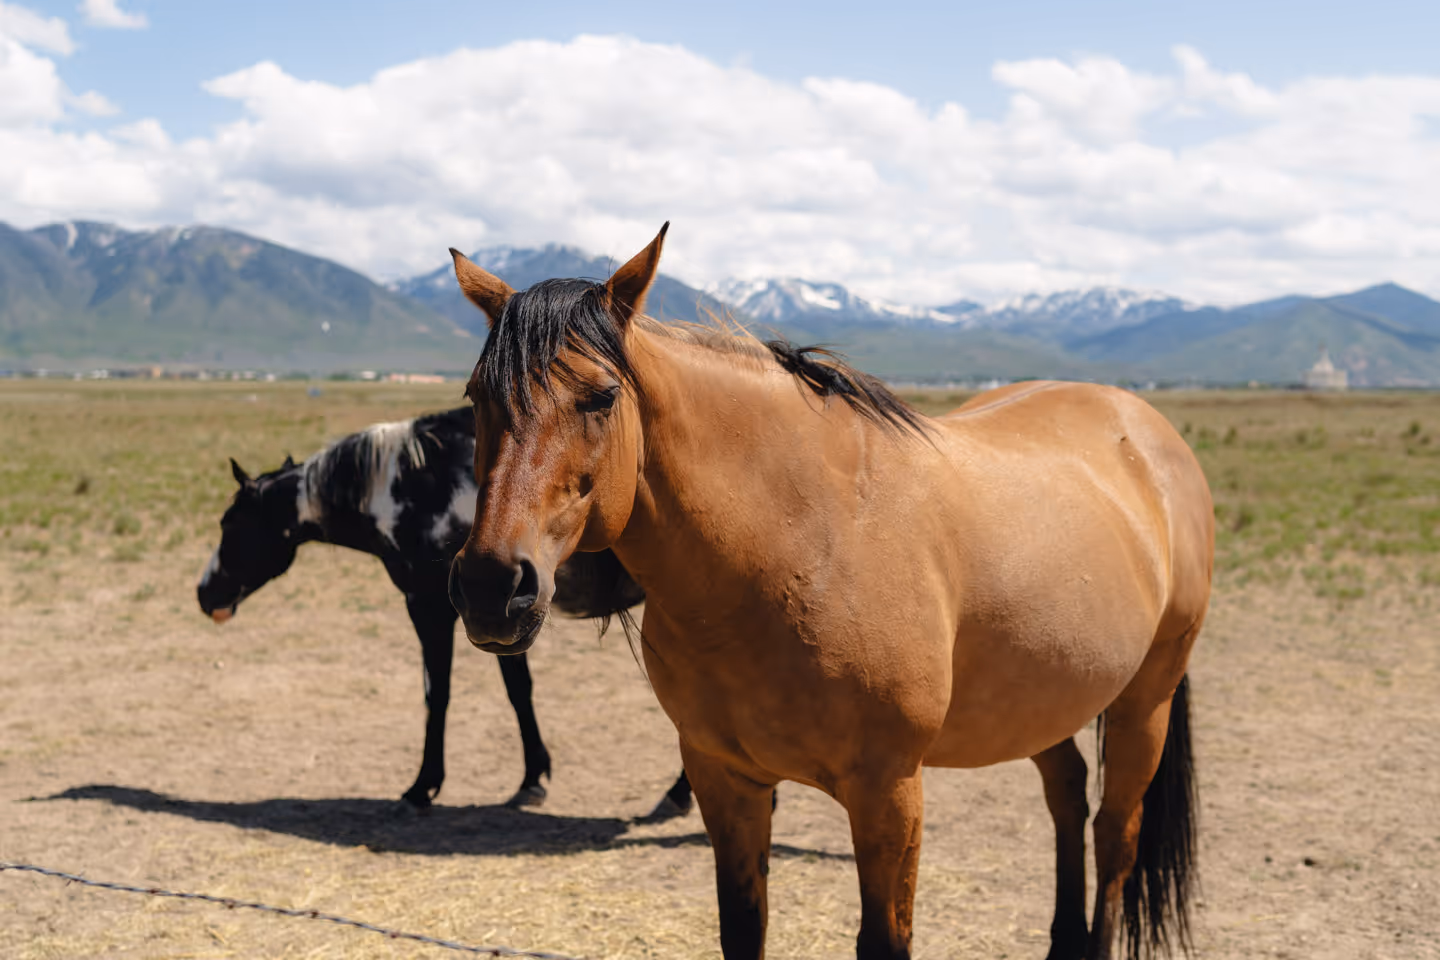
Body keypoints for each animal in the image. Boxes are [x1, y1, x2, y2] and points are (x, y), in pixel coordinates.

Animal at [195, 405, 694, 815]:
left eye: (230, 523)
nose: (204, 594)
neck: (415, 485)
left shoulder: (429, 608)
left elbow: (437, 694)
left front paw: (422, 787)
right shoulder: (502, 619)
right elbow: (519, 691)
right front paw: (532, 780)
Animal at [444, 225, 1214, 960]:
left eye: (602, 396)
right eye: (477, 398)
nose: (491, 585)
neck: (796, 548)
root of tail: (1146, 428)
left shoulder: (888, 794)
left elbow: (884, 941)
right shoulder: (726, 780)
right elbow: (742, 929)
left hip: (1146, 698)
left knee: (1116, 834)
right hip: (1040, 699)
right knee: (1067, 796)